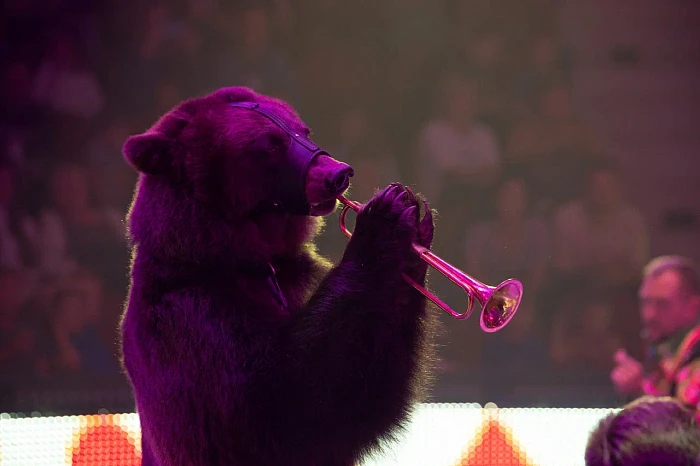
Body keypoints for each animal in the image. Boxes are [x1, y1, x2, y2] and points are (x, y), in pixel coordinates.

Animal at [120, 87, 438, 466]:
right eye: (269, 144)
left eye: (302, 130)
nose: (338, 173)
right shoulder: (193, 316)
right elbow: (283, 405)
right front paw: (383, 219)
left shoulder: (299, 274)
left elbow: (371, 388)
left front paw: (414, 228)